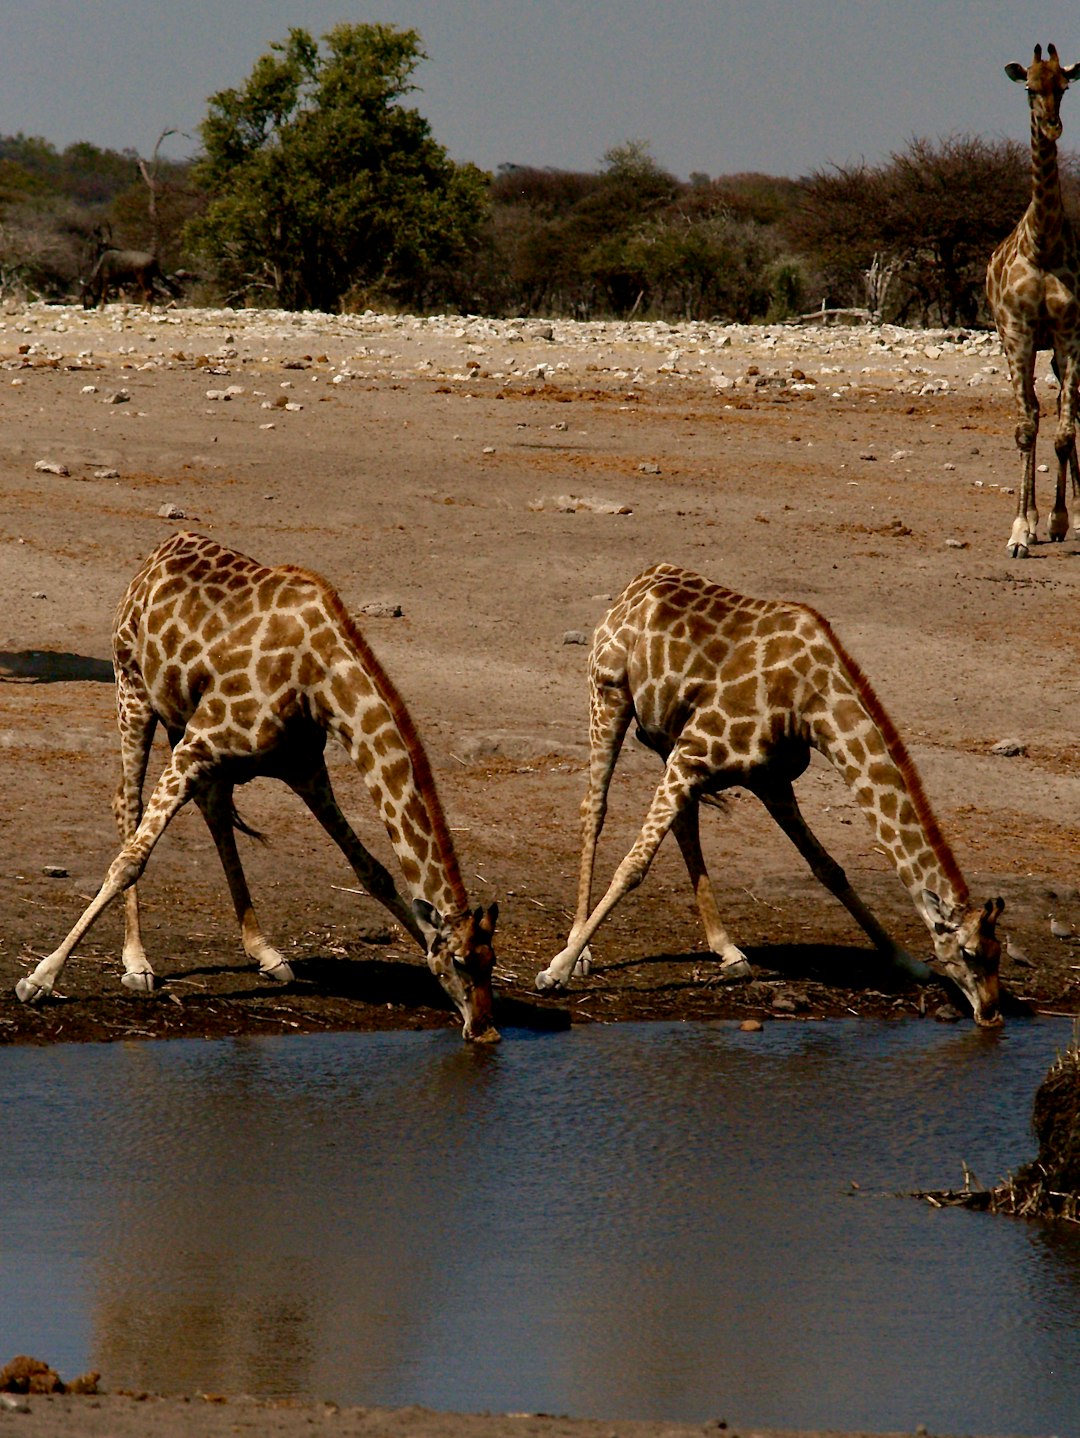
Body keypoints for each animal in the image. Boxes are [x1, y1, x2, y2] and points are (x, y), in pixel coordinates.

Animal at [15, 534, 503, 1041]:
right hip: (133, 691)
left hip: (187, 727)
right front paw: (39, 978)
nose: (486, 1028)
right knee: (126, 805)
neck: (319, 678)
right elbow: (129, 862)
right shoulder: (198, 746)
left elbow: (372, 870)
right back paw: (137, 963)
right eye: (462, 962)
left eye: (491, 962)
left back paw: (265, 952)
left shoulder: (303, 767)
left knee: (212, 809)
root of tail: (157, 555)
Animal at [537, 560, 1006, 1023]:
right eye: (969, 953)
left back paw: (727, 950)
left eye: (998, 953)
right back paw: (580, 947)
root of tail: (638, 582)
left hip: (667, 738)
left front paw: (905, 961)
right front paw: (557, 970)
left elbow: (829, 869)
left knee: (686, 824)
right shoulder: (694, 754)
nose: (991, 1013)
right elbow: (633, 867)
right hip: (609, 695)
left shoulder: (769, 779)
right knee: (595, 808)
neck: (811, 703)